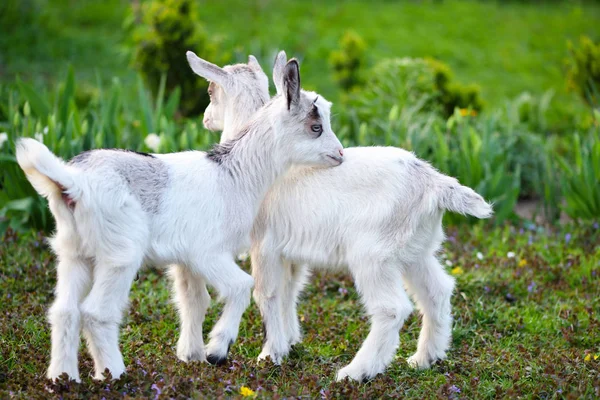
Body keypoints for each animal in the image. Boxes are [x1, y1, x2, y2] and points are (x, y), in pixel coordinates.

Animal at [15, 52, 342, 382]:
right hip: (119, 255)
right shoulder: (207, 252)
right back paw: (114, 374)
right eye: (316, 126)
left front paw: (195, 356)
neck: (234, 173)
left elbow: (197, 300)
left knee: (64, 311)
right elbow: (241, 286)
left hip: (73, 252)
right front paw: (217, 350)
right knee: (96, 313)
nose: (340, 154)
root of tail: (74, 183)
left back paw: (62, 379)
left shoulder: (188, 259)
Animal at [203, 51, 492, 382]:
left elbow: (267, 294)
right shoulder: (291, 252)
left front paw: (269, 356)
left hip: (374, 256)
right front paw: (290, 342)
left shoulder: (264, 246)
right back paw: (423, 359)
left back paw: (356, 372)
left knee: (392, 309)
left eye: (211, 91)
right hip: (414, 252)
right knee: (438, 292)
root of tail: (433, 183)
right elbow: (290, 292)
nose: (206, 118)